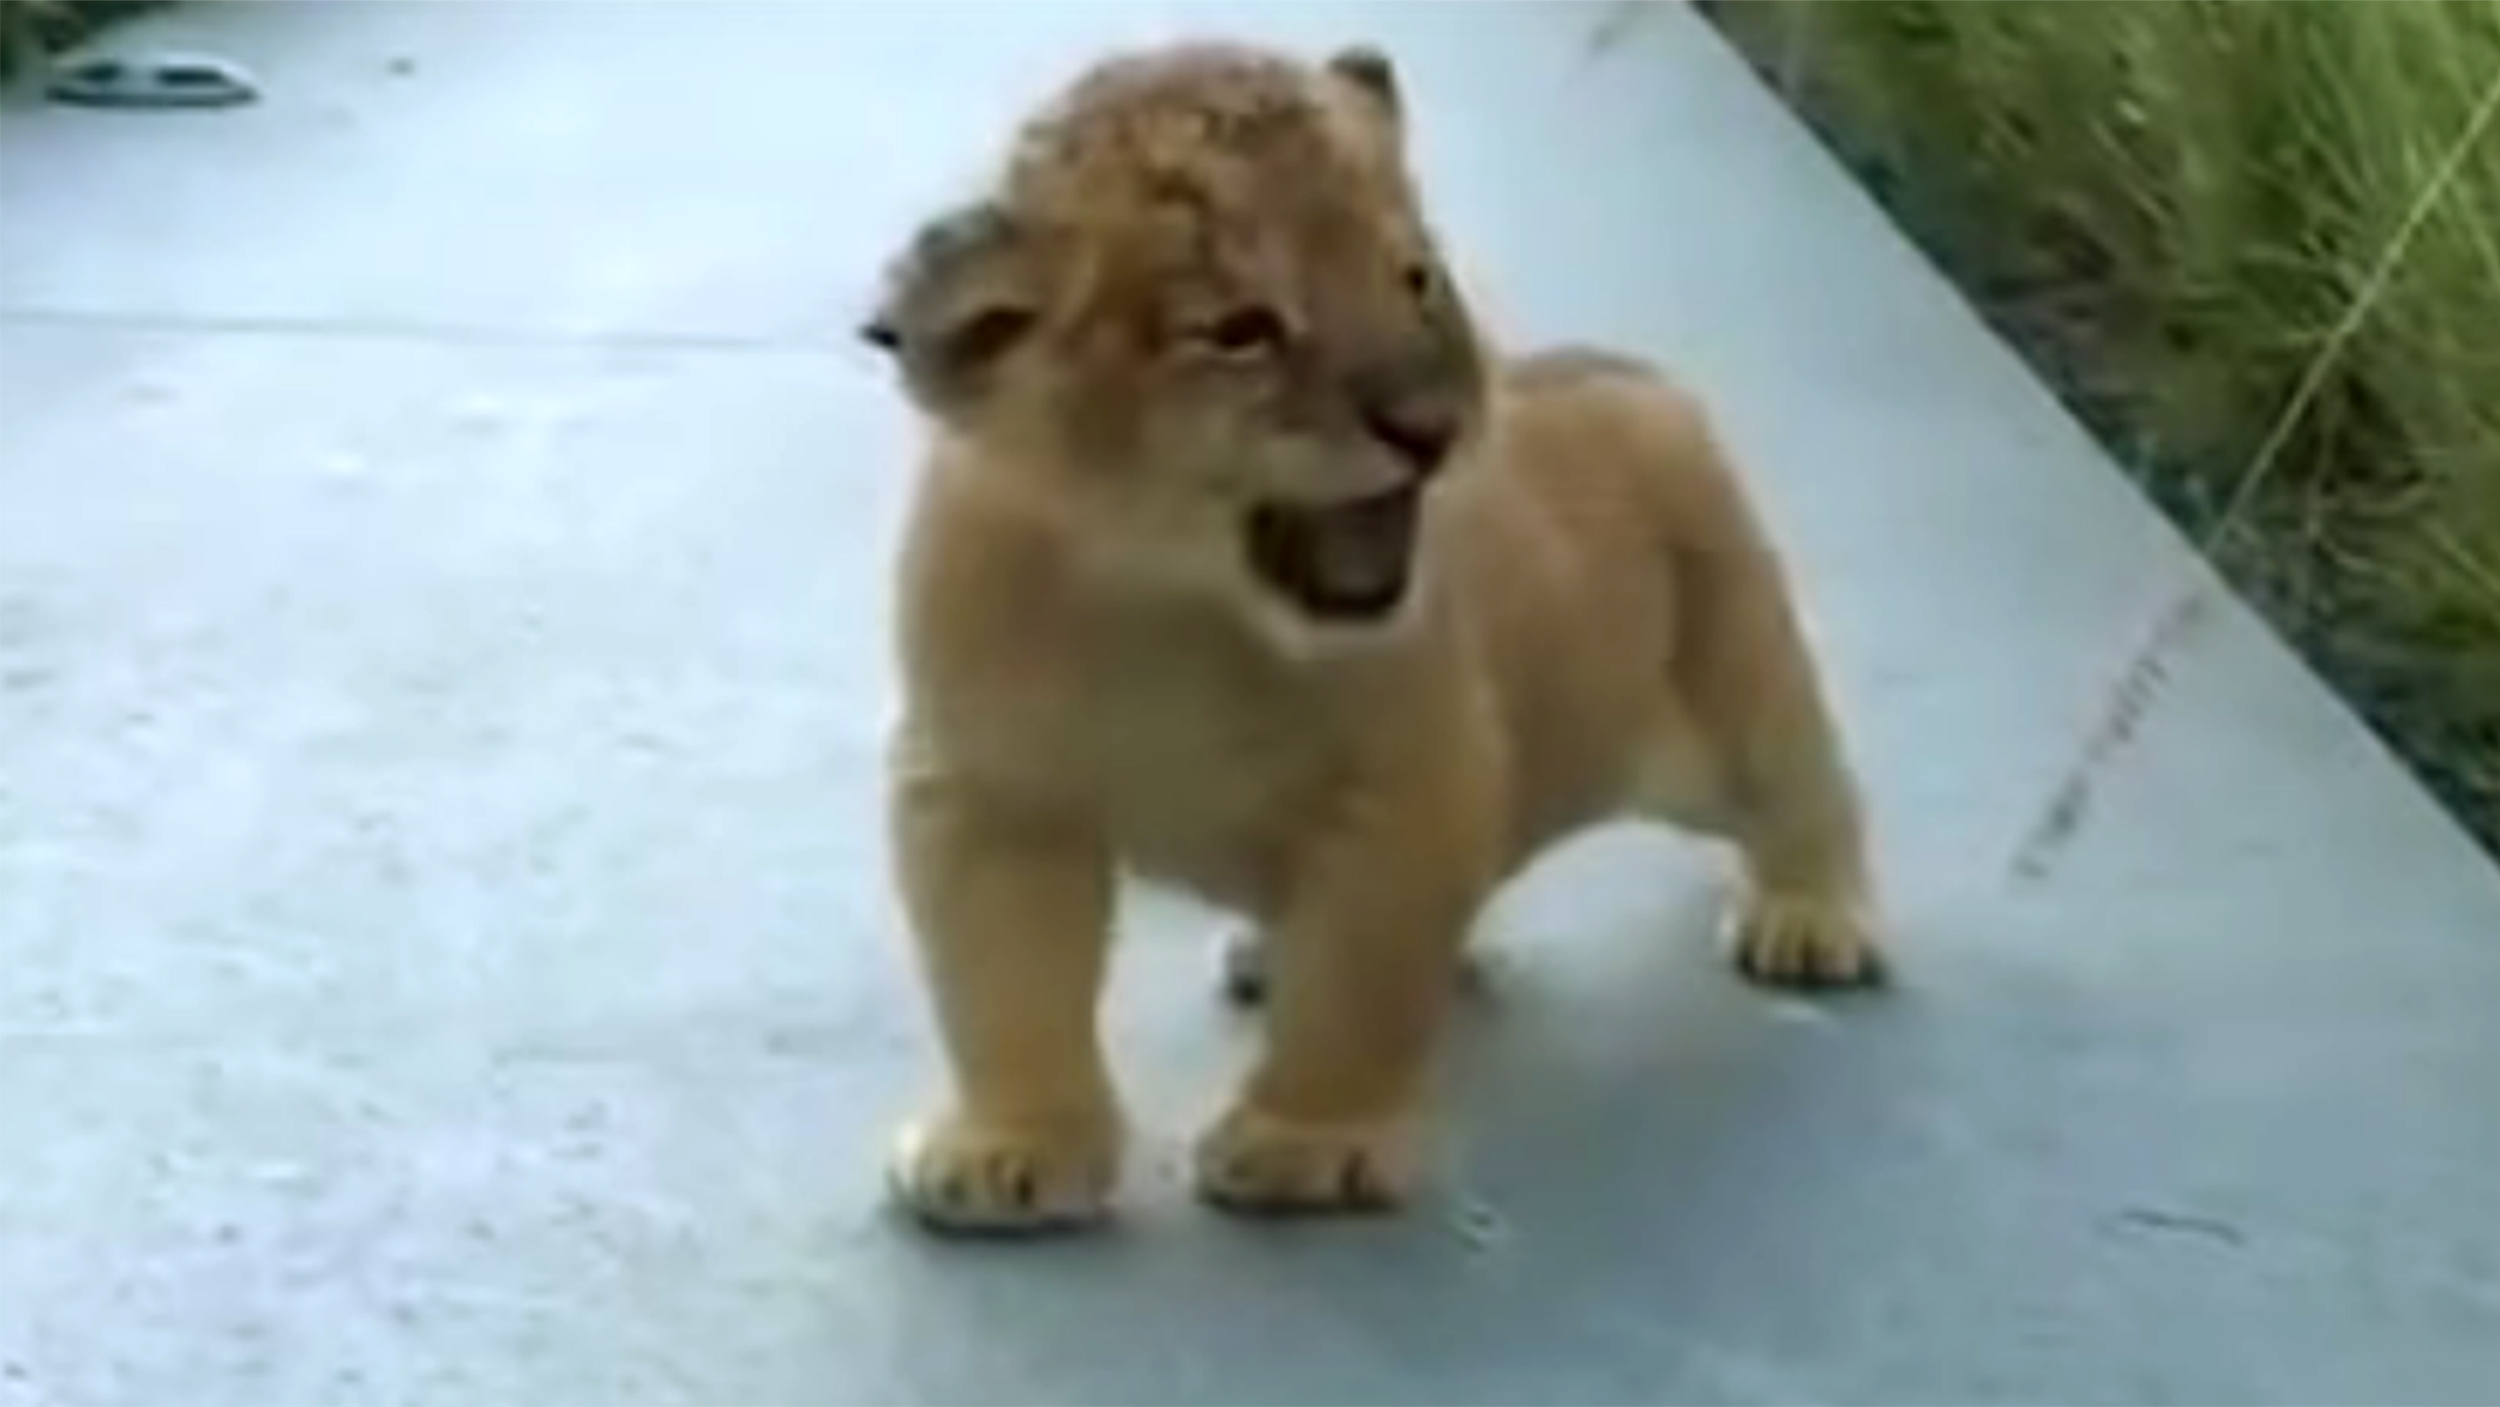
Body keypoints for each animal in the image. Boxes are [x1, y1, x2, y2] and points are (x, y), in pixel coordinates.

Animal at [860, 38, 1884, 1234]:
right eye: (1241, 330)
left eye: (1413, 278)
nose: (1429, 427)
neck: (1172, 607)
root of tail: (1624, 368)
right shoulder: (989, 791)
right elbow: (1003, 983)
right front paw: (1010, 1151)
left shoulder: (1410, 785)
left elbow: (1358, 981)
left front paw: (1306, 1145)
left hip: (1730, 676)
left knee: (1804, 788)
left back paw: (1810, 922)